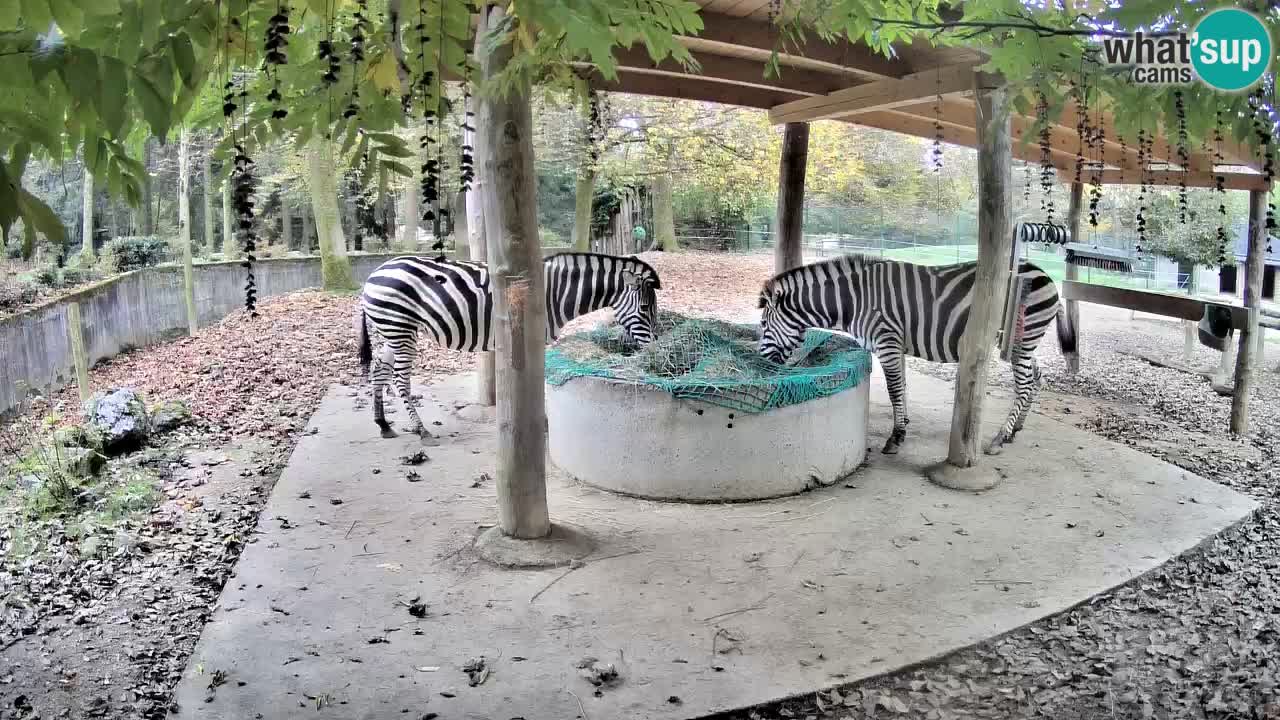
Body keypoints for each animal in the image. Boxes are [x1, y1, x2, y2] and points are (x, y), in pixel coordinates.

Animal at [358, 249, 660, 435]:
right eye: (646, 308)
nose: (655, 348)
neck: (558, 292)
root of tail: (374, 273)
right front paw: (540, 422)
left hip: (389, 330)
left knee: (379, 370)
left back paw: (382, 423)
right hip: (400, 327)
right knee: (399, 378)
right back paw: (420, 428)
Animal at [757, 254, 1080, 450]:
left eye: (762, 324)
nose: (761, 362)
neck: (853, 301)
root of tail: (1047, 276)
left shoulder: (886, 341)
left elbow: (894, 389)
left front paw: (897, 436)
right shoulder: (894, 343)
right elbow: (901, 386)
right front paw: (905, 424)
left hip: (1021, 339)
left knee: (1025, 384)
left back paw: (1000, 436)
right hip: (1024, 343)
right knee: (1036, 378)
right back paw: (1016, 429)